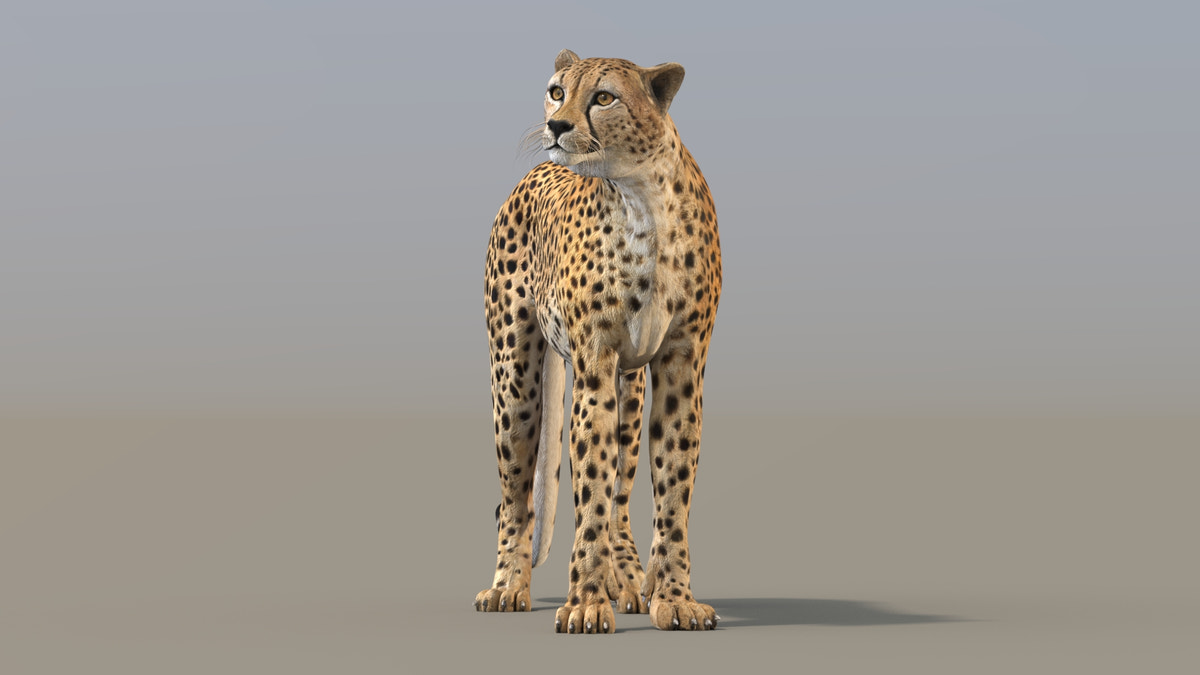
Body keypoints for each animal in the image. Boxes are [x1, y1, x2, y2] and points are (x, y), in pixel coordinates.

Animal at [474, 49, 722, 634]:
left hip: (630, 386)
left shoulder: (681, 361)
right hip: (515, 381)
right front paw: (585, 603)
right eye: (556, 92)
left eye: (604, 97)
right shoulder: (593, 360)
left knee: (621, 486)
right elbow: (588, 481)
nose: (556, 127)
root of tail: (537, 171)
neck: (642, 197)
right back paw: (508, 587)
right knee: (515, 495)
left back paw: (628, 577)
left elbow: (670, 487)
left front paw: (673, 597)